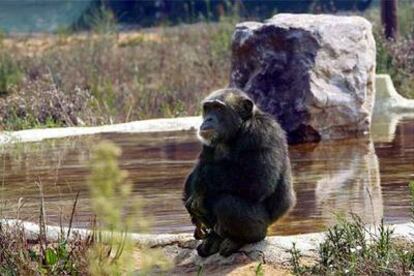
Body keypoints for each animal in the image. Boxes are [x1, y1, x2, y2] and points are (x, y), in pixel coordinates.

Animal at [184, 88, 294, 256]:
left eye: (218, 108)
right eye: (207, 108)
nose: (208, 119)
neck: (237, 130)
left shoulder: (261, 133)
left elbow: (258, 179)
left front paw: (199, 180)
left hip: (261, 228)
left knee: (227, 203)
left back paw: (238, 240)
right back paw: (214, 238)